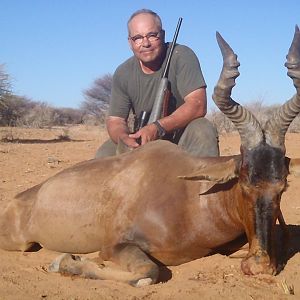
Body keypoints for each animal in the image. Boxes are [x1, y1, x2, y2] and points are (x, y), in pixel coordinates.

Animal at [0, 26, 300, 286]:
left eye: (281, 187)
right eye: (244, 182)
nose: (261, 267)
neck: (193, 198)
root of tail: (21, 198)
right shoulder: (116, 246)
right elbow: (147, 273)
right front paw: (64, 262)